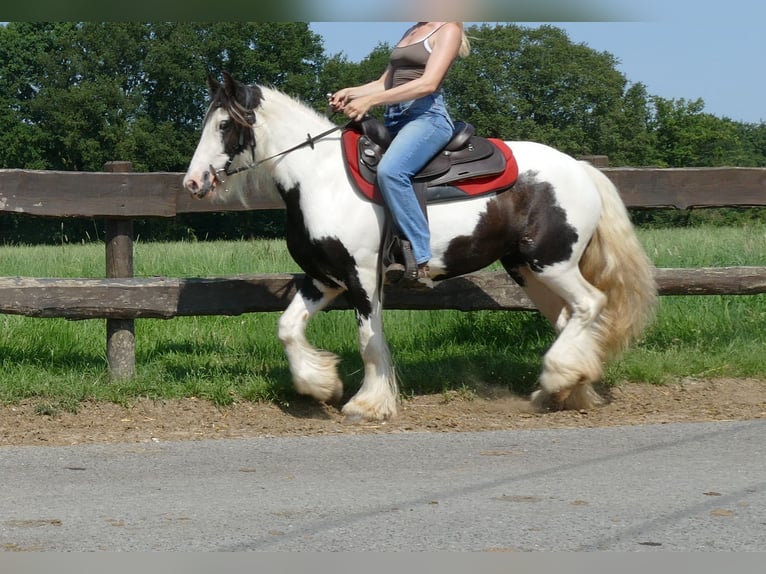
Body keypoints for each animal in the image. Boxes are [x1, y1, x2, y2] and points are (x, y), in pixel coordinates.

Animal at [183, 72, 656, 424]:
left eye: (224, 125)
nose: (193, 182)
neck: (319, 178)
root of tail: (581, 168)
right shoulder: (323, 279)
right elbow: (287, 327)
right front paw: (321, 384)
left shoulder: (362, 277)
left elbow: (369, 340)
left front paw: (367, 404)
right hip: (526, 269)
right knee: (569, 318)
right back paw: (567, 388)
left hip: (551, 263)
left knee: (590, 305)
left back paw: (559, 380)